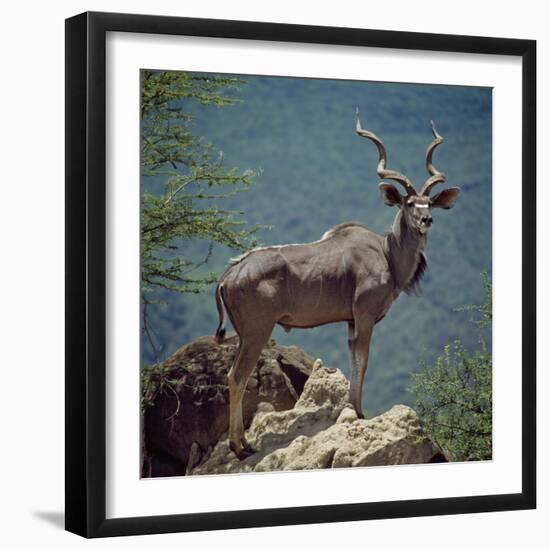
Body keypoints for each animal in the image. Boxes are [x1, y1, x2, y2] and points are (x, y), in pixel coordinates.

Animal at [216, 110, 462, 460]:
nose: (427, 220)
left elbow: (354, 360)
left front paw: (352, 409)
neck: (386, 252)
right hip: (257, 331)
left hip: (244, 334)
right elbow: (364, 361)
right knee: (237, 377)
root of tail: (229, 275)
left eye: (428, 202)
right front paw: (358, 412)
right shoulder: (364, 316)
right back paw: (241, 446)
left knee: (232, 375)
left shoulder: (350, 321)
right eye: (409, 203)